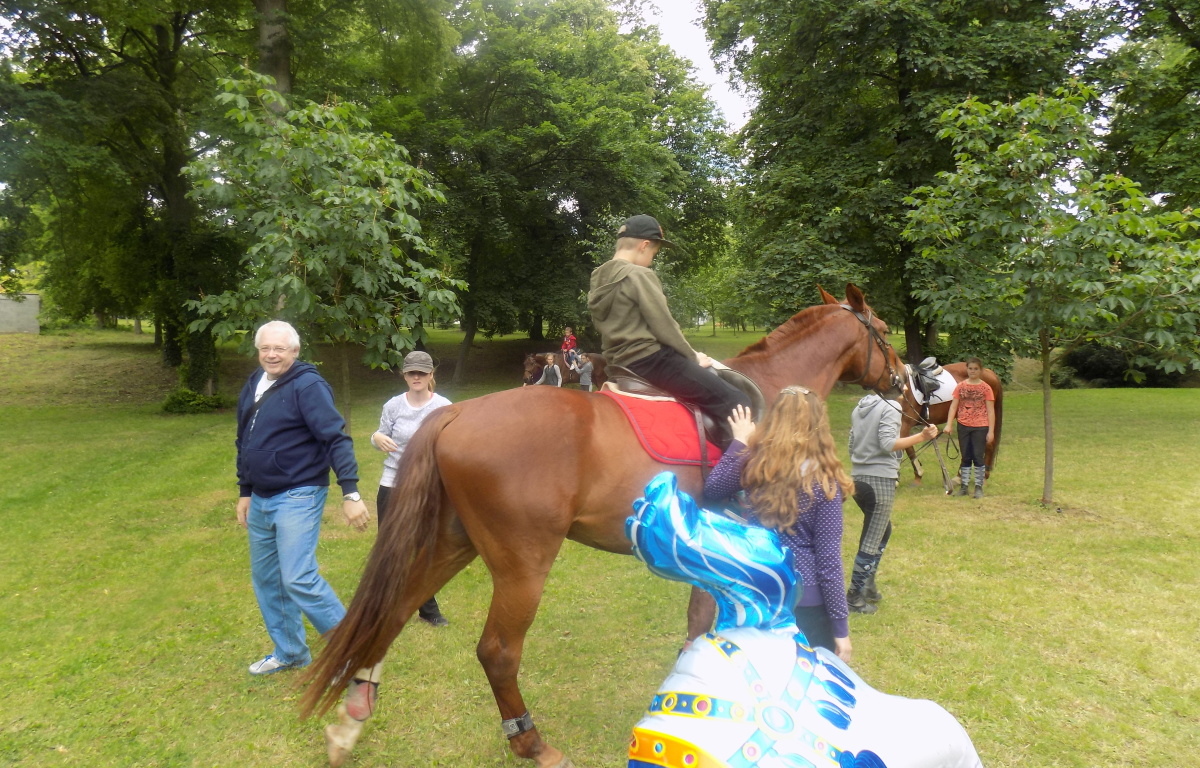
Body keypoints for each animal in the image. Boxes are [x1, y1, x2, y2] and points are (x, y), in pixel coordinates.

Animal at [302, 284, 906, 768]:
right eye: (882, 330)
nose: (906, 382)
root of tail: (456, 412)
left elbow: (699, 623)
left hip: (453, 543)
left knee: (396, 610)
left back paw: (351, 720)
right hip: (523, 564)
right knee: (497, 651)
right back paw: (531, 742)